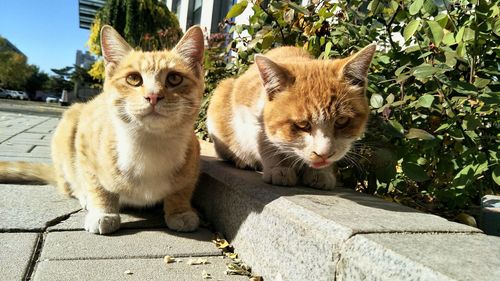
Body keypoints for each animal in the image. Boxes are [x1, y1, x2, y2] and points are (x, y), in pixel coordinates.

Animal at [0, 24, 205, 234]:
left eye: (174, 78)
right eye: (133, 79)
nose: (153, 95)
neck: (150, 144)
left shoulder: (194, 161)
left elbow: (181, 190)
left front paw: (180, 212)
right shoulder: (84, 145)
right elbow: (96, 184)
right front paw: (103, 212)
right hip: (69, 124)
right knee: (69, 184)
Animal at [207, 44, 376, 188]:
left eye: (342, 121)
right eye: (302, 124)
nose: (324, 154)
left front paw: (321, 173)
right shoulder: (252, 117)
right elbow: (265, 143)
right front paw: (279, 169)